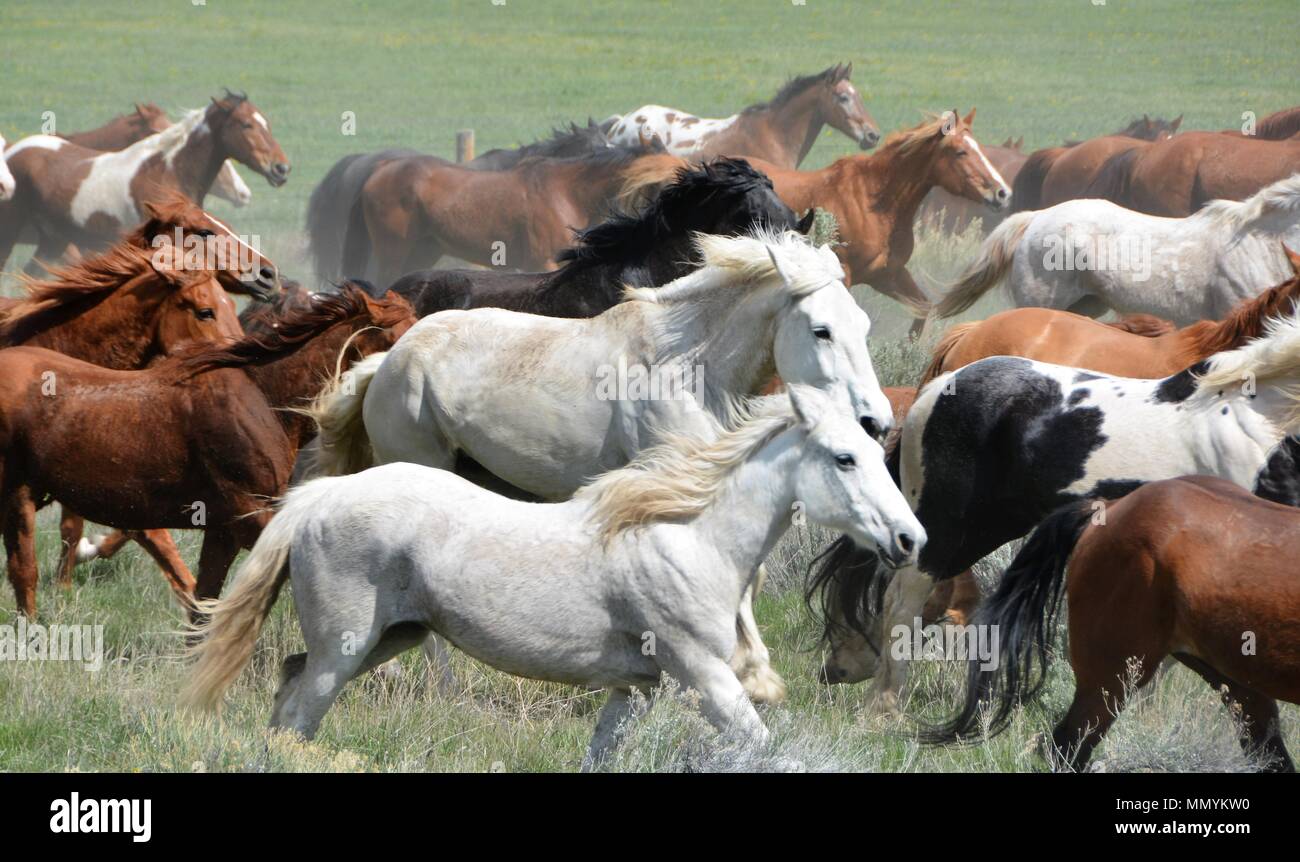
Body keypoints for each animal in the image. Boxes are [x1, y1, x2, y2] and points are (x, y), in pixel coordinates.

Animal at [182, 385, 923, 770]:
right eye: (845, 458)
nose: (910, 539)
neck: (690, 538)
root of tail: (319, 498)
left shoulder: (634, 689)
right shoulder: (702, 674)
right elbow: (766, 747)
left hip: (387, 638)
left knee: (287, 689)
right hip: (346, 648)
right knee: (298, 713)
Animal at [810, 306, 1300, 715]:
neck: (1263, 424)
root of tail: (938, 387)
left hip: (989, 526)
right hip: (947, 527)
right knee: (902, 599)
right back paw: (882, 709)